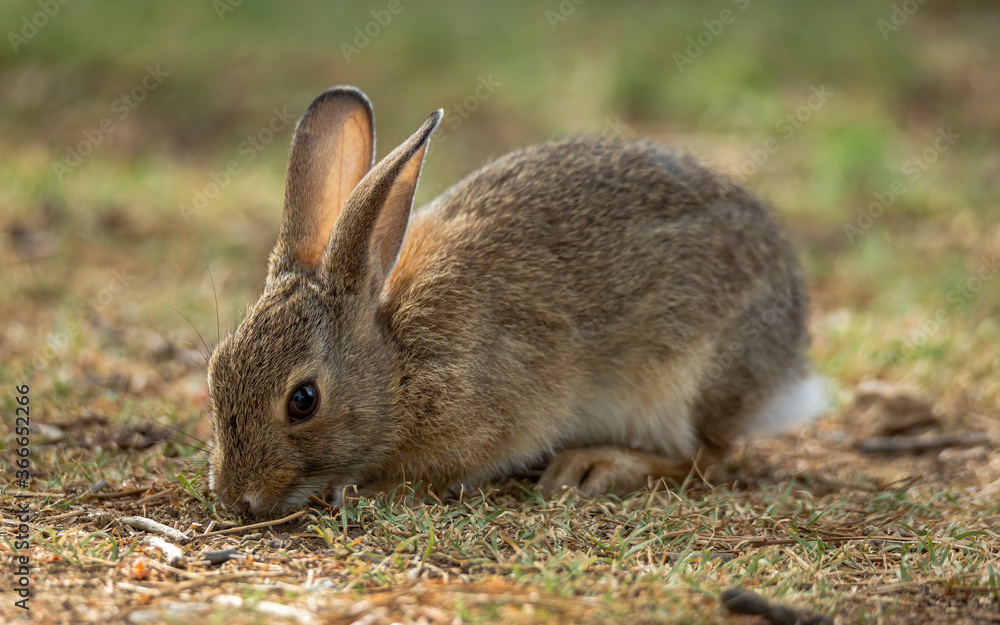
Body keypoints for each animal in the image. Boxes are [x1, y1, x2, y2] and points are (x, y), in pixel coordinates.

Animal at [206, 85, 827, 518]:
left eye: (303, 400)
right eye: (214, 371)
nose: (236, 498)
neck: (395, 359)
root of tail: (787, 369)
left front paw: (370, 490)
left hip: (684, 381)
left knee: (707, 457)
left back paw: (596, 465)